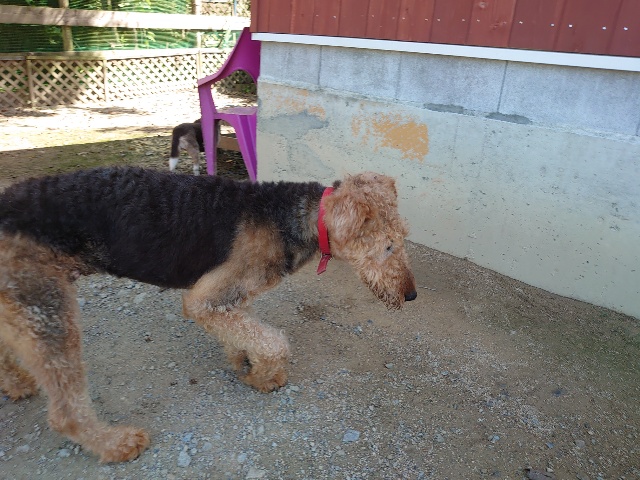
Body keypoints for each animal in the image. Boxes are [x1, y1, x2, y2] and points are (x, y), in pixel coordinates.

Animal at [0, 167, 417, 462]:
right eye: (388, 246)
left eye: (403, 237)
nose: (410, 295)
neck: (293, 219)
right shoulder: (205, 299)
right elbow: (274, 341)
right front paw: (266, 374)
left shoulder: (232, 297)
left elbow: (249, 333)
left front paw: (247, 363)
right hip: (50, 310)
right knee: (66, 411)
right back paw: (117, 443)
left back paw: (18, 384)